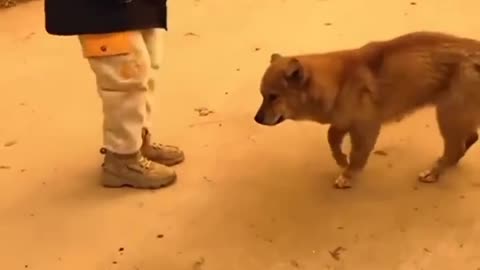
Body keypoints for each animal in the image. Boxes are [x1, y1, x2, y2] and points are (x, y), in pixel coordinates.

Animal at [255, 31, 480, 188]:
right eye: (262, 95)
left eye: (273, 97)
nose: (257, 119)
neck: (339, 82)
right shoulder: (344, 120)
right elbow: (332, 137)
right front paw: (340, 159)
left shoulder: (366, 128)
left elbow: (357, 155)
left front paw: (348, 174)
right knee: (468, 139)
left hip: (448, 115)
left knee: (456, 146)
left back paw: (435, 172)